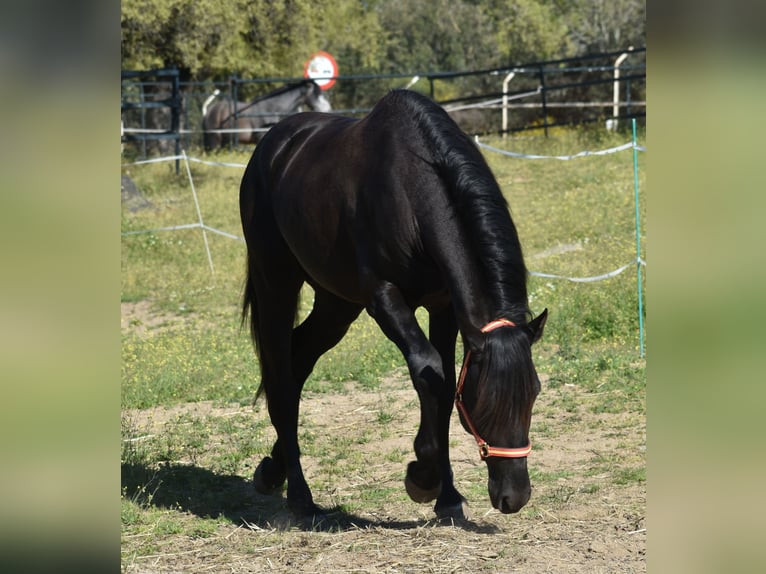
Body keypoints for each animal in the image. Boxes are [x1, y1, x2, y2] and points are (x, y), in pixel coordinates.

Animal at [239, 89, 548, 521]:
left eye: (534, 393)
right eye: (485, 400)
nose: (514, 497)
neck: (411, 190)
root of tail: (272, 144)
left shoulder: (444, 306)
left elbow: (445, 386)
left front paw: (447, 497)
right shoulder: (383, 298)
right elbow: (428, 369)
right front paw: (422, 477)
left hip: (336, 303)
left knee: (300, 359)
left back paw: (272, 471)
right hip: (276, 286)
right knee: (281, 372)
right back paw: (299, 496)